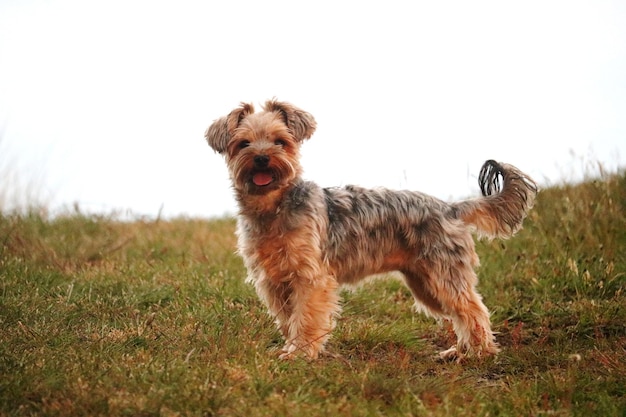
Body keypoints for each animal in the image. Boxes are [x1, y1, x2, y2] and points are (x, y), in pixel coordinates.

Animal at [205, 99, 536, 360]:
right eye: (244, 144)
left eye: (280, 141)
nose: (262, 158)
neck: (273, 206)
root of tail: (451, 208)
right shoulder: (274, 280)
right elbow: (288, 318)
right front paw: (291, 348)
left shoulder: (310, 278)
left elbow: (306, 317)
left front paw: (300, 353)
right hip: (425, 284)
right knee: (462, 312)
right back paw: (461, 351)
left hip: (443, 274)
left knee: (473, 310)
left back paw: (478, 354)